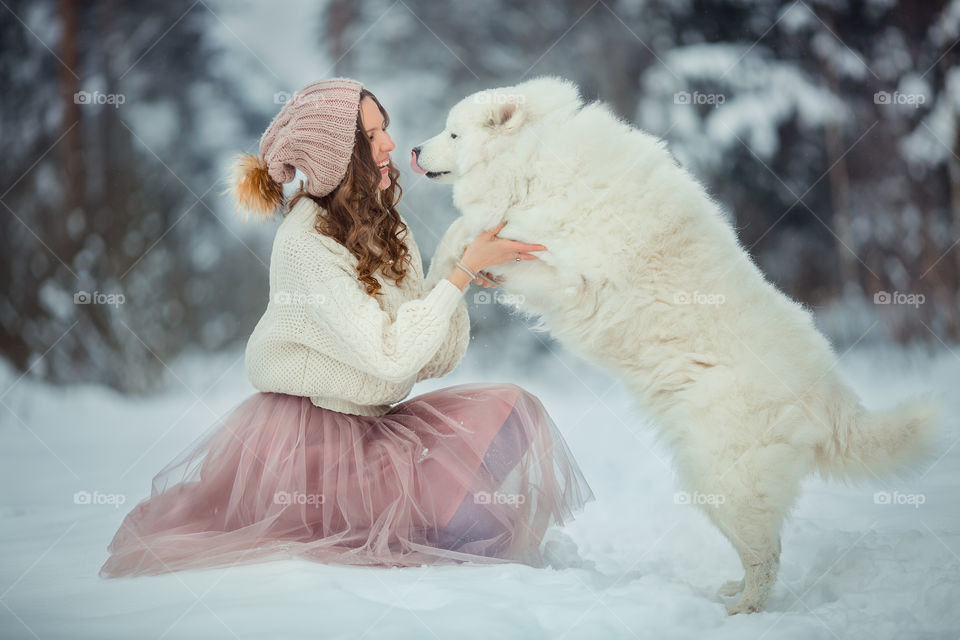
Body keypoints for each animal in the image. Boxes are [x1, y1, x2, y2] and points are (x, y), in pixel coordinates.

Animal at [412, 76, 936, 616]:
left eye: (453, 134)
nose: (413, 150)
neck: (535, 160)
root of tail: (829, 395)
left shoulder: (566, 270)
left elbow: (486, 243)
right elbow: (466, 235)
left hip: (722, 477)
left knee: (766, 556)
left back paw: (742, 610)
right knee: (763, 551)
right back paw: (734, 592)